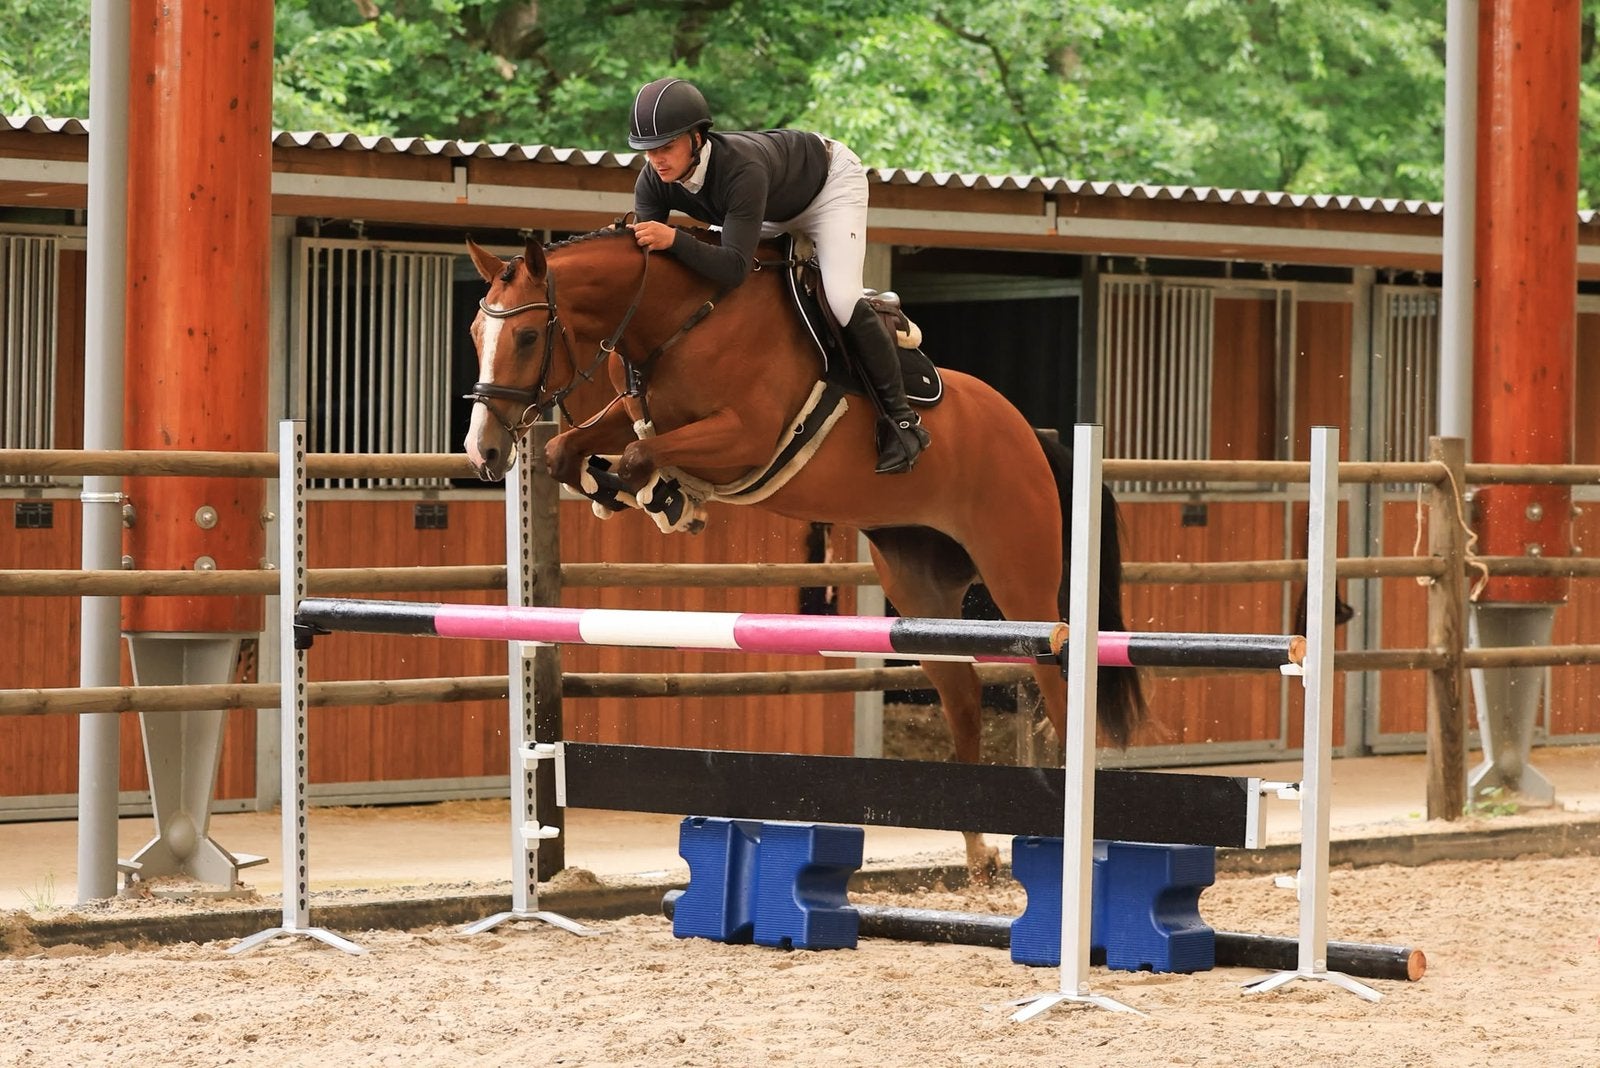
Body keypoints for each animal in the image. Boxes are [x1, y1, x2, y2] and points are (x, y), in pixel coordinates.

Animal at [461, 224, 1147, 877]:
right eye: (474, 333)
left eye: (527, 336)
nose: (484, 451)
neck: (680, 319)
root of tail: (1032, 434)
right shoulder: (636, 411)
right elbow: (569, 449)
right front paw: (631, 492)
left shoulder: (743, 437)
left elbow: (638, 452)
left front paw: (666, 496)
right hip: (921, 593)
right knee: (962, 697)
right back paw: (978, 850)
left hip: (1020, 579)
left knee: (1058, 686)